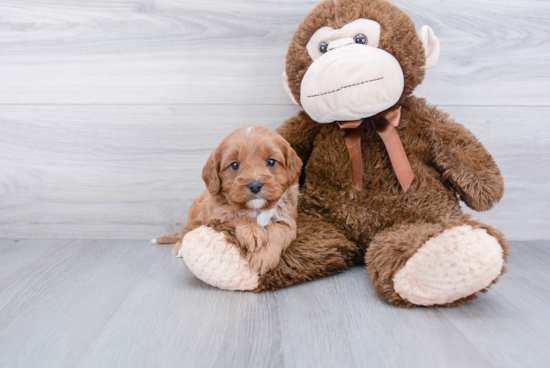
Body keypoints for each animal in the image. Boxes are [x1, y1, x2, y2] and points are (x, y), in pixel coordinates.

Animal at [155, 125, 304, 274]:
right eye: (234, 165)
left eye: (271, 162)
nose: (255, 185)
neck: (256, 209)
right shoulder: (218, 216)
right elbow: (238, 217)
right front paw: (252, 232)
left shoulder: (288, 221)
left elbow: (275, 229)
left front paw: (263, 256)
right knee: (186, 231)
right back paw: (179, 247)